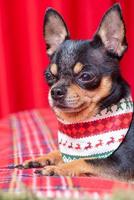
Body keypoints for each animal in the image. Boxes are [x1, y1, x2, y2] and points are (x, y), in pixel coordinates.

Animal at [17, 4, 134, 180]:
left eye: (86, 76)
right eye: (48, 76)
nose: (55, 91)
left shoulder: (125, 165)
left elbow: (85, 160)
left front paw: (57, 168)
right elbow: (60, 152)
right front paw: (42, 158)